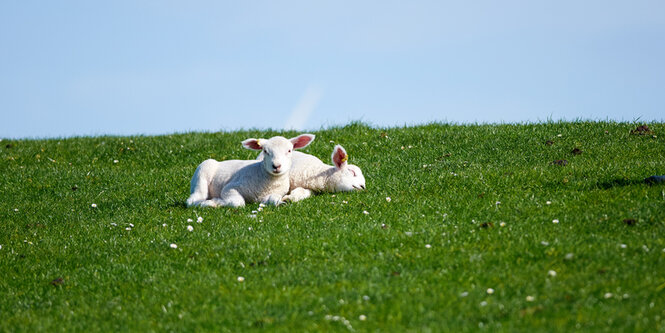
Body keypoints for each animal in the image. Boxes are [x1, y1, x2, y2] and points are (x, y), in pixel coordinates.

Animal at [184, 133, 314, 206]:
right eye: (265, 151)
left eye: (289, 150)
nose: (276, 166)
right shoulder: (230, 188)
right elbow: (238, 203)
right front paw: (217, 202)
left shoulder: (270, 195)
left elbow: (274, 199)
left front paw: (282, 202)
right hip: (201, 175)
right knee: (193, 200)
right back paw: (206, 203)